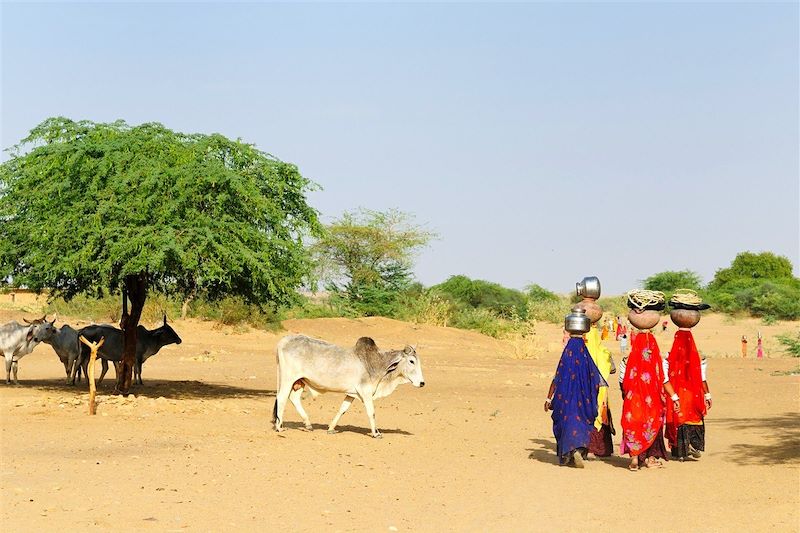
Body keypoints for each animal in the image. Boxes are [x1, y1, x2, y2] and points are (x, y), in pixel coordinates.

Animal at [272, 336, 424, 436]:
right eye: (411, 361)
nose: (422, 383)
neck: (376, 364)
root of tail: (283, 341)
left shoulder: (351, 393)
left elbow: (342, 409)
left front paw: (331, 428)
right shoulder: (366, 392)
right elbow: (371, 412)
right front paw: (376, 433)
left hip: (300, 381)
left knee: (294, 398)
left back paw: (308, 424)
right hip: (288, 378)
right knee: (282, 397)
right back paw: (279, 427)